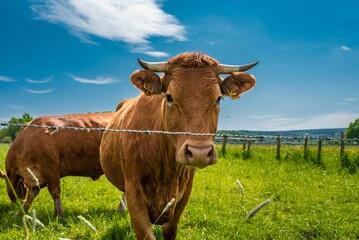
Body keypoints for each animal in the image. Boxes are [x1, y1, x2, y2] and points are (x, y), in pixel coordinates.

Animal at [100, 52, 258, 238]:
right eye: (169, 97)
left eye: (218, 99)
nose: (199, 152)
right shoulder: (134, 191)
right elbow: (144, 232)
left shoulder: (184, 193)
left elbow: (169, 230)